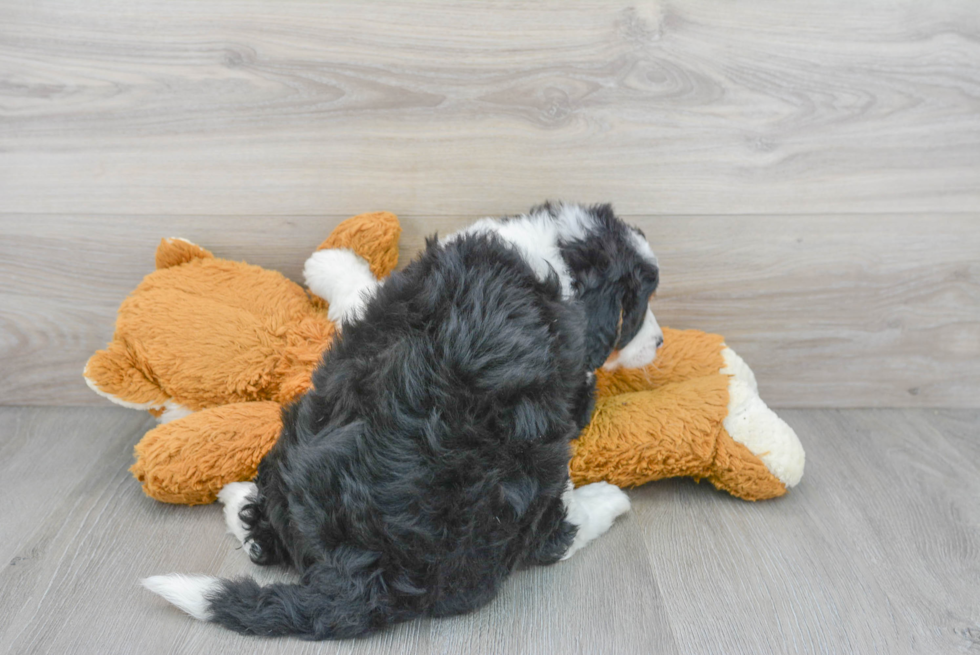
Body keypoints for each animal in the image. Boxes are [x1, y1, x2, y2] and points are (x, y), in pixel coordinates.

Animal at [145, 201, 664, 640]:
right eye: (636, 309)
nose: (660, 343)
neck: (553, 251)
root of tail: (368, 574)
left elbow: (364, 291)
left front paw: (326, 264)